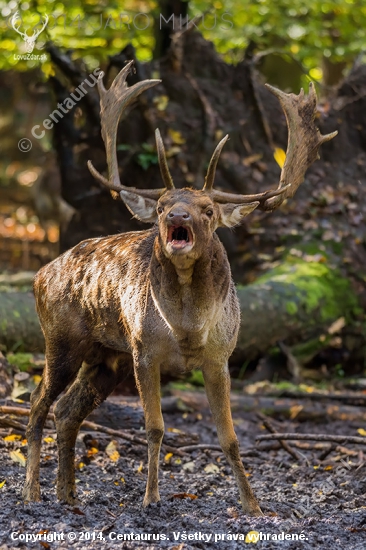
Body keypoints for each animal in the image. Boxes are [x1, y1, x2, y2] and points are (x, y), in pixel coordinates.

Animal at [22, 61, 338, 516]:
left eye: (208, 209)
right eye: (159, 205)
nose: (177, 215)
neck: (188, 327)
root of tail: (39, 275)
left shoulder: (220, 357)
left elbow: (230, 437)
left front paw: (253, 505)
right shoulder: (144, 351)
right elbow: (155, 427)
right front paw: (151, 497)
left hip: (107, 358)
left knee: (66, 411)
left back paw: (69, 495)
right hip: (63, 339)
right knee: (36, 402)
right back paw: (32, 491)